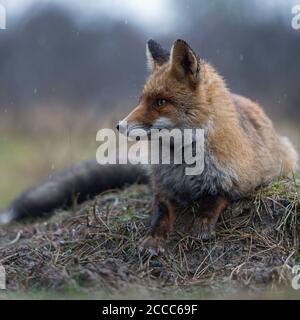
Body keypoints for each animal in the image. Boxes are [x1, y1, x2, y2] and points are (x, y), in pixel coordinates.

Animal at [0, 39, 298, 255]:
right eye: (142, 99)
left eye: (160, 101)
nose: (119, 125)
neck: (183, 163)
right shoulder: (162, 187)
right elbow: (161, 214)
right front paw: (153, 240)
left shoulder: (243, 181)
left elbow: (217, 197)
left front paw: (202, 223)